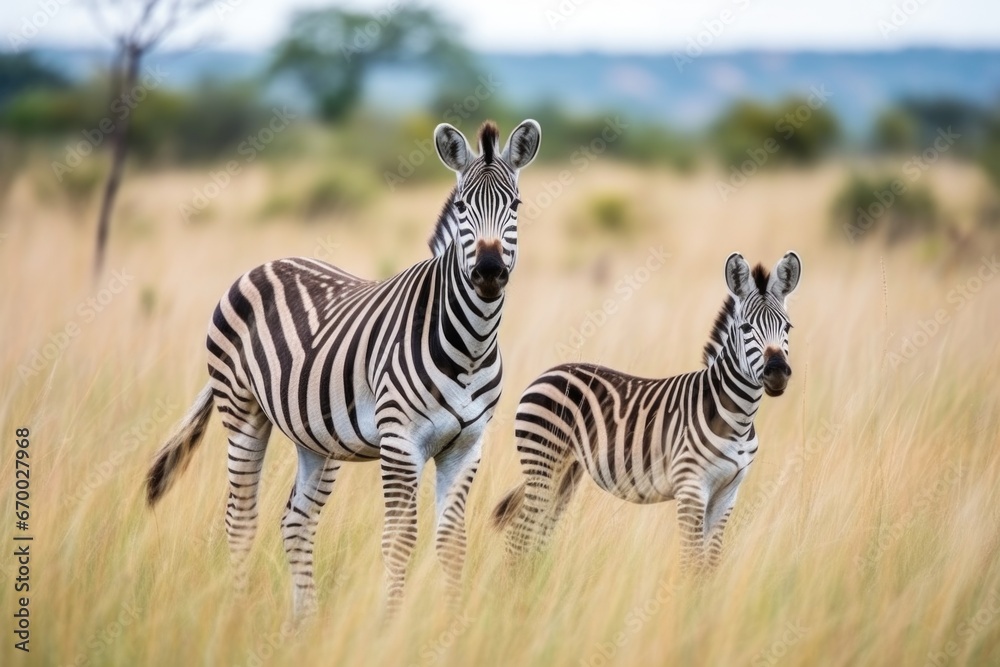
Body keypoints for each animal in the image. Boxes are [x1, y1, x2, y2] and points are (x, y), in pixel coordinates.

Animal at [145, 119, 541, 618]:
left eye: (515, 206)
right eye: (463, 206)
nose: (489, 271)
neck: (470, 347)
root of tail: (264, 263)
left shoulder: (467, 446)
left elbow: (452, 543)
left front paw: (452, 624)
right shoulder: (400, 441)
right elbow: (399, 540)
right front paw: (390, 623)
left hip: (317, 438)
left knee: (296, 522)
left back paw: (305, 622)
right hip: (242, 413)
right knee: (241, 518)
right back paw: (238, 612)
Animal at [492, 251, 801, 574]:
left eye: (787, 327)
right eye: (746, 329)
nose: (777, 373)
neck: (736, 419)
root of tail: (547, 373)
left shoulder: (727, 494)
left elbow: (709, 564)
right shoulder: (691, 488)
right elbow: (691, 560)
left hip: (567, 472)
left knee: (538, 534)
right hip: (543, 460)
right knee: (519, 535)